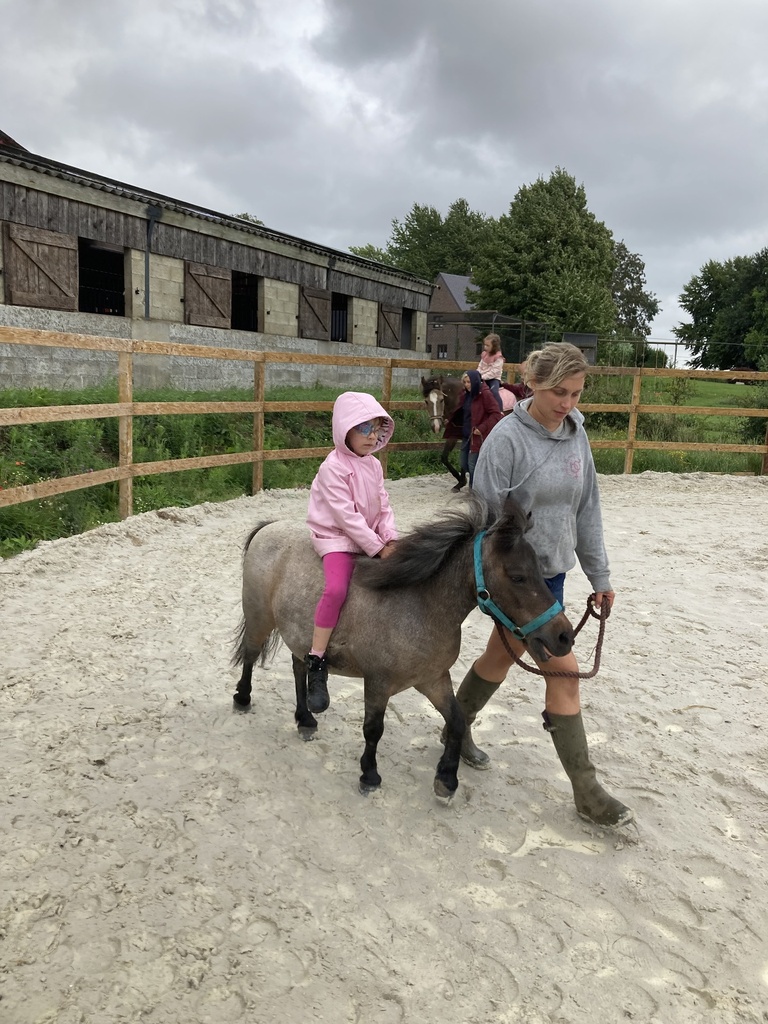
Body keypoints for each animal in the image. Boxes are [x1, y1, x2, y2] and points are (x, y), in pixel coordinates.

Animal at [231, 493, 573, 798]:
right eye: (517, 576)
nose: (564, 636)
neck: (420, 606)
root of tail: (270, 527)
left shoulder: (433, 679)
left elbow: (457, 720)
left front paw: (447, 780)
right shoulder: (378, 683)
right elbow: (373, 729)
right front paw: (369, 776)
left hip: (299, 635)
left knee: (300, 666)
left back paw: (305, 719)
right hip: (260, 619)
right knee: (250, 654)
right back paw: (243, 699)